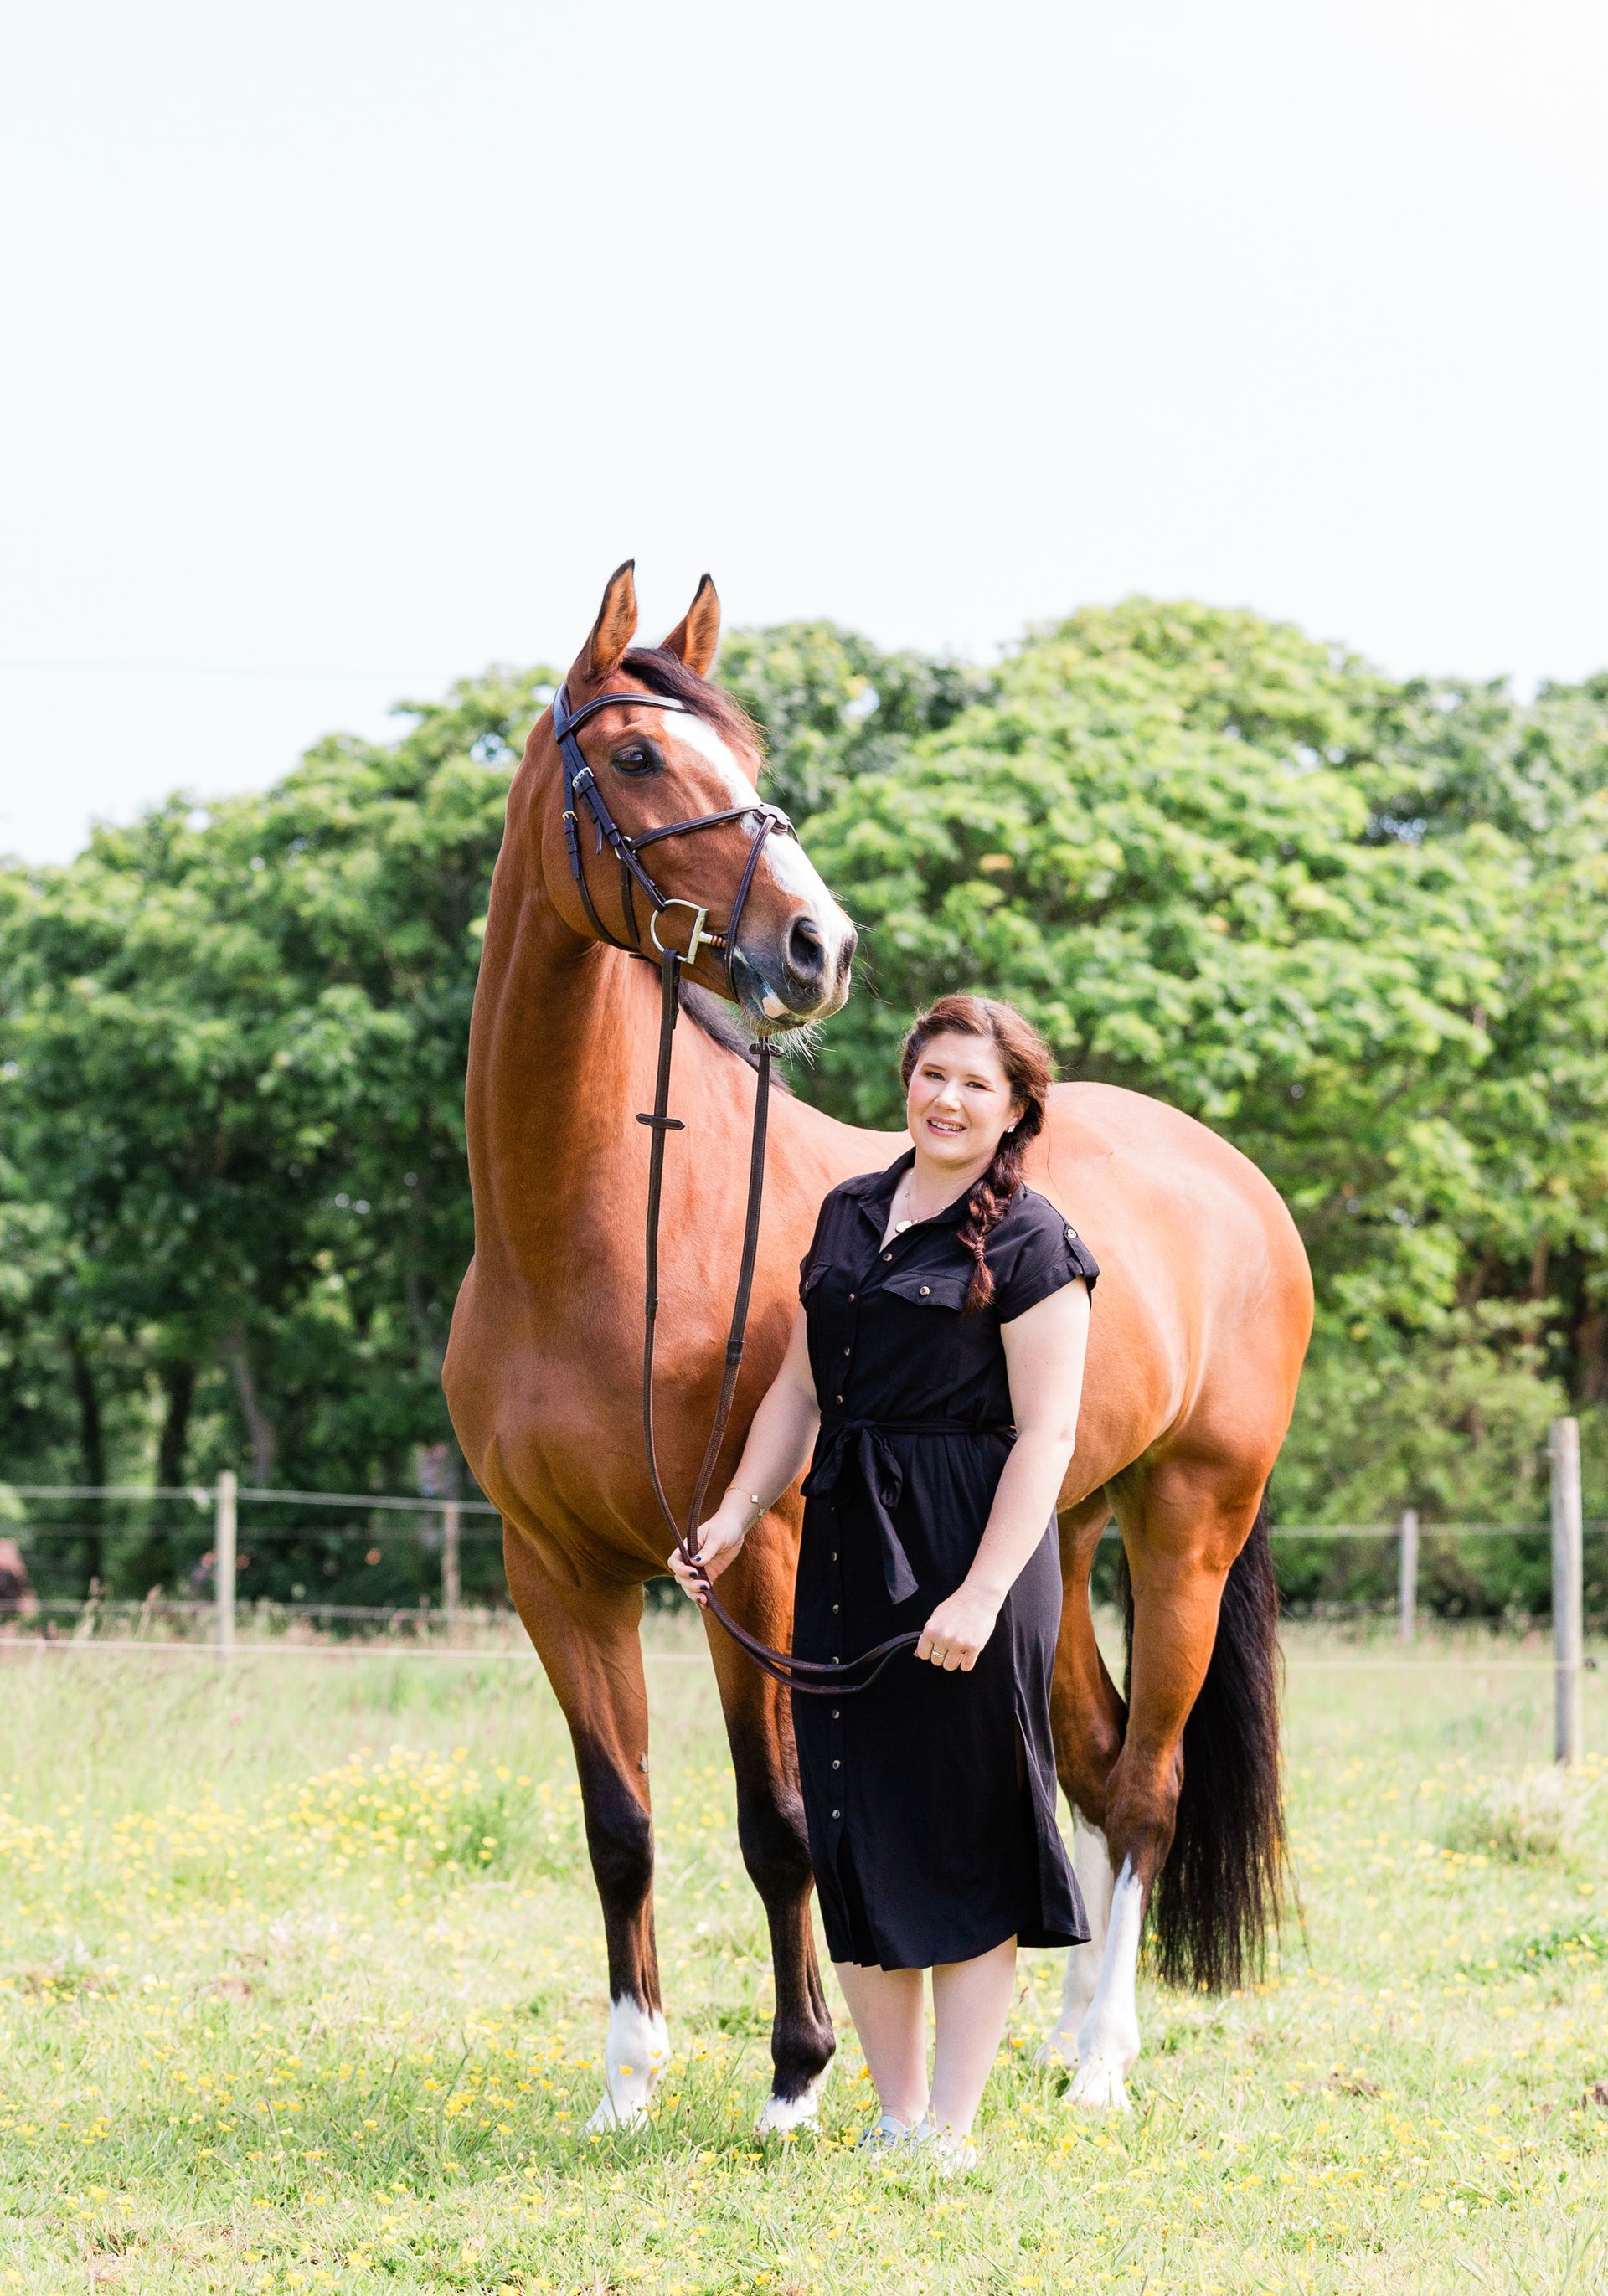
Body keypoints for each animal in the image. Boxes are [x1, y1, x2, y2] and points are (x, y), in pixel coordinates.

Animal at [443, 562, 1313, 2130]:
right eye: (639, 755)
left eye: (746, 756)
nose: (818, 946)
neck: (599, 1238)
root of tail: (1231, 1178)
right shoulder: (556, 1574)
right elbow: (620, 1826)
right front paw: (627, 2084)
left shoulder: (756, 1558)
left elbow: (778, 1820)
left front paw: (796, 2075)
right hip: (1051, 1534)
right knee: (1093, 1763)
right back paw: (1061, 2032)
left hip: (1189, 1524)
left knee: (1147, 1784)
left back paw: (1100, 2063)